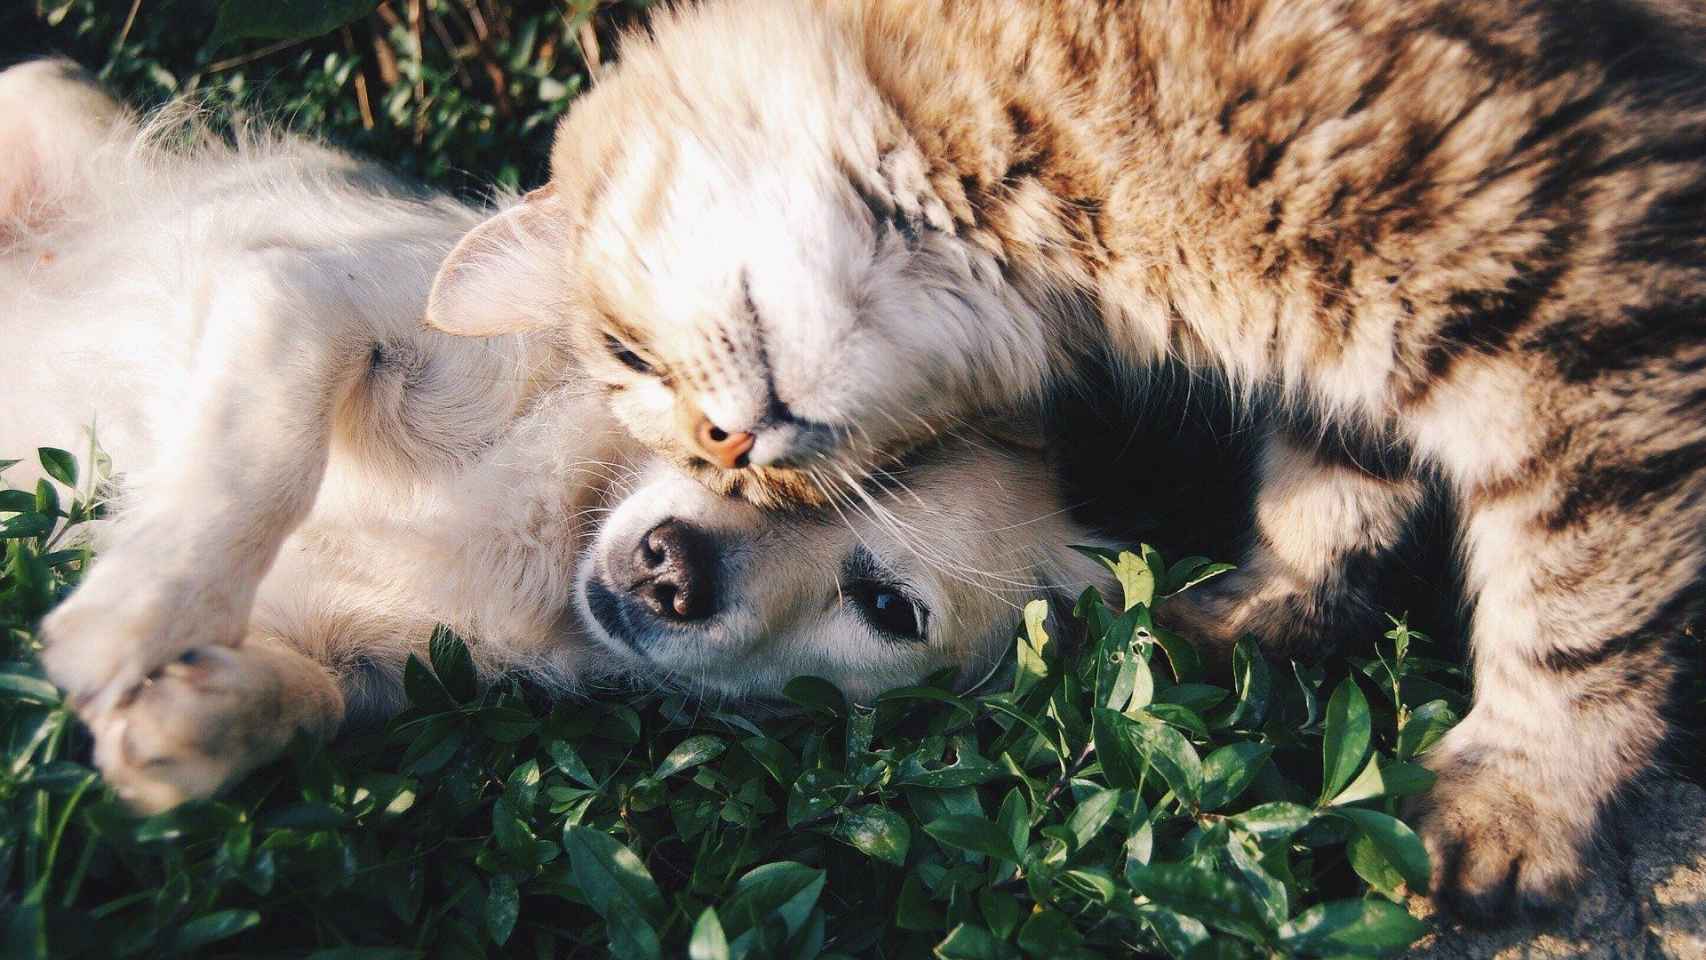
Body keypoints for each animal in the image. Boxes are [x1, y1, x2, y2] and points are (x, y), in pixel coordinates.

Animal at [0, 58, 1112, 811]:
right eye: (727, 438)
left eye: (887, 608)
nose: (671, 570)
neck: (559, 526)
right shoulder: (306, 298)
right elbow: (257, 464)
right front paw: (137, 615)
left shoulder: (369, 664)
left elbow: (309, 700)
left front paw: (194, 721)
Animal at [423, 0, 1706, 920]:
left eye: (628, 355)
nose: (730, 448)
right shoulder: (1360, 351)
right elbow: (1324, 502)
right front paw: (1251, 616)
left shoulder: (1579, 307)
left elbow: (1575, 610)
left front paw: (1517, 800)